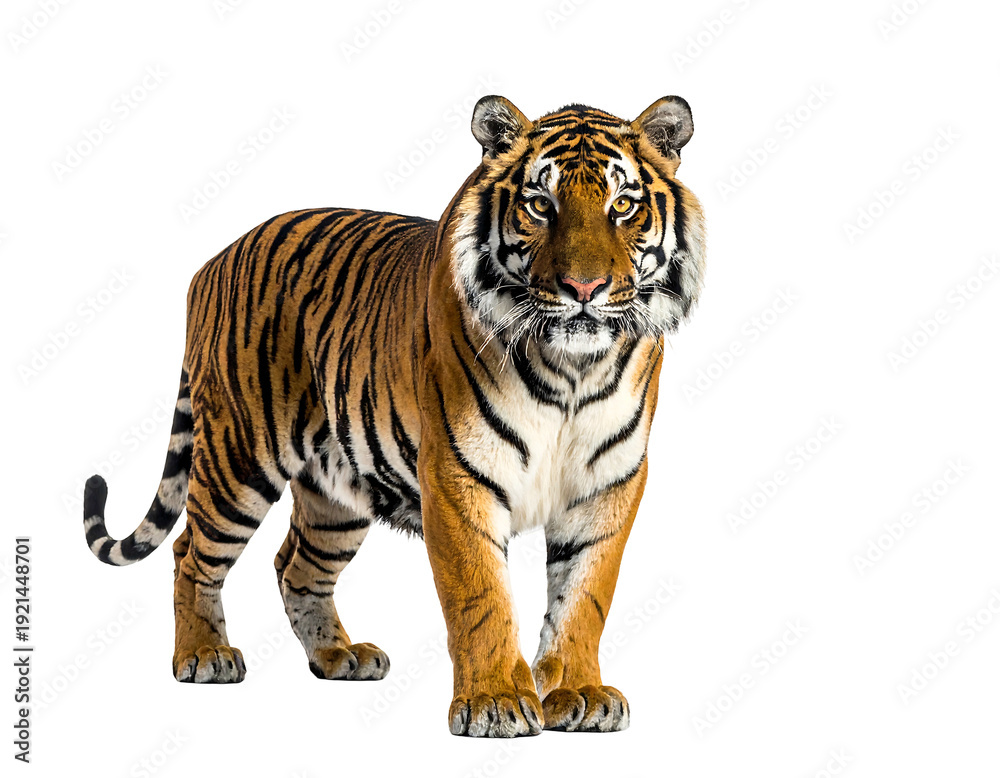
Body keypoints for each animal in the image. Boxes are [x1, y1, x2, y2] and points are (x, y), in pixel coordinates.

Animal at [82, 94, 705, 737]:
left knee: (296, 566)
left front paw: (578, 692)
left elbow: (584, 597)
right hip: (240, 453)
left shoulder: (609, 483)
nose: (585, 287)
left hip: (337, 492)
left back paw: (338, 656)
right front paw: (495, 702)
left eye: (623, 206)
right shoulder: (457, 475)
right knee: (190, 551)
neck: (573, 370)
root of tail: (211, 262)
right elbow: (481, 595)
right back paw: (204, 654)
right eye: (540, 205)